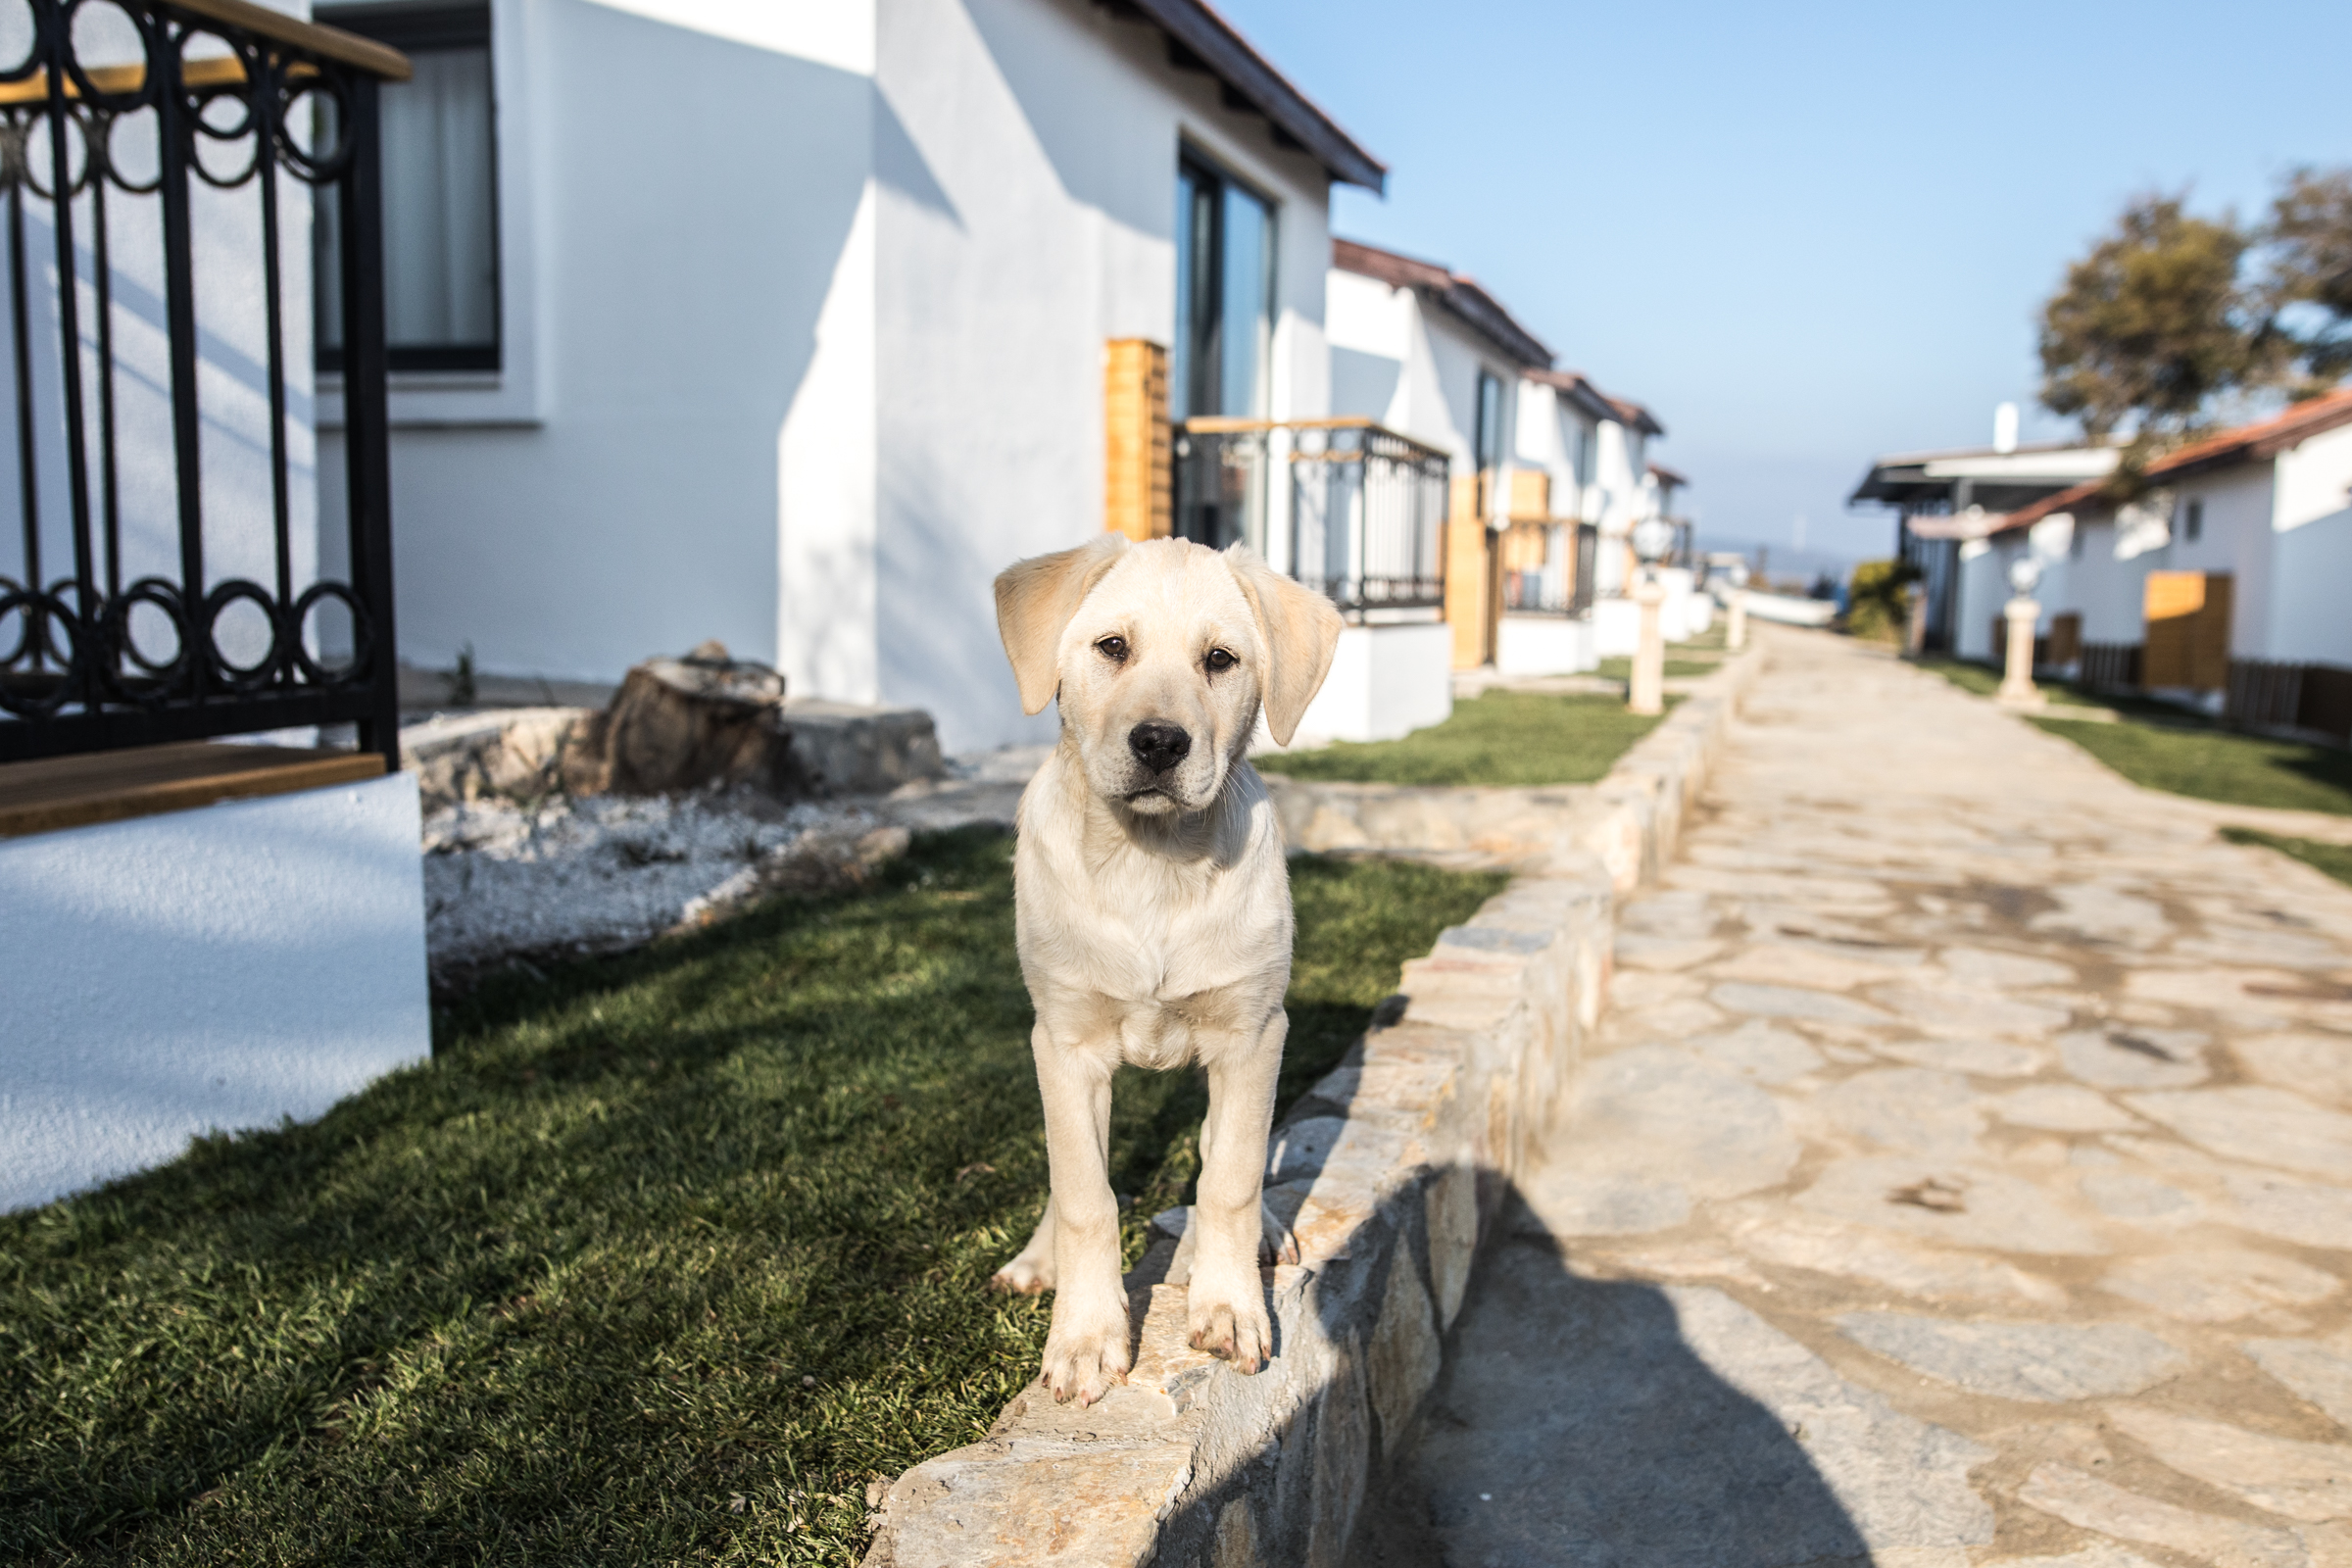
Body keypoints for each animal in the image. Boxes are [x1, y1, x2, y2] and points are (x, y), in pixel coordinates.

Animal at [988, 533, 1345, 1400]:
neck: (1149, 862)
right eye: (1112, 647)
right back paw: (1039, 1258)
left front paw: (1229, 1307)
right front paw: (1086, 1338)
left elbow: (1231, 1176)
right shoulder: (1065, 1043)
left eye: (1220, 659)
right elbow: (1085, 1194)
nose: (1159, 742)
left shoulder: (1254, 1034)